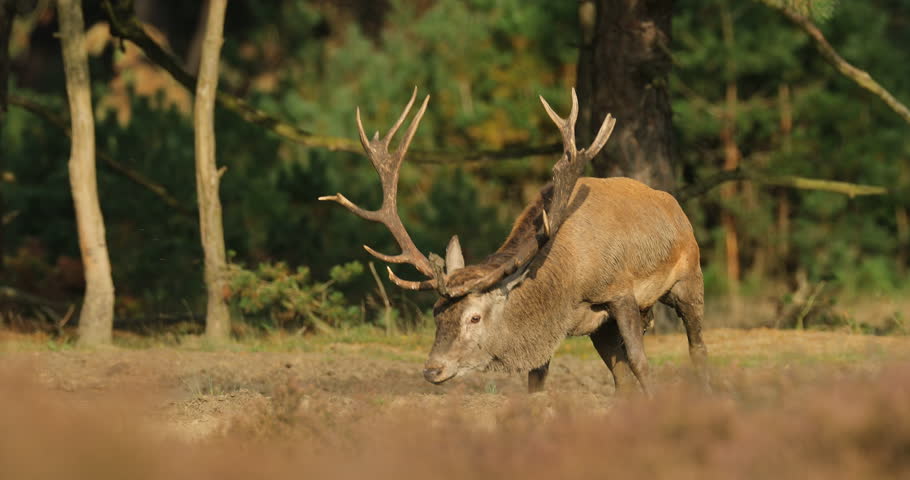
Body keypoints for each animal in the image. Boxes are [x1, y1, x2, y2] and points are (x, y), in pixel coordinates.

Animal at [320, 88, 709, 395]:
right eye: (435, 312)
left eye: (474, 318)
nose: (432, 369)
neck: (569, 282)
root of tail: (672, 205)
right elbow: (537, 383)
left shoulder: (619, 292)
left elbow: (643, 365)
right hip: (604, 327)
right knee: (621, 377)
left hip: (688, 277)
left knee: (697, 349)